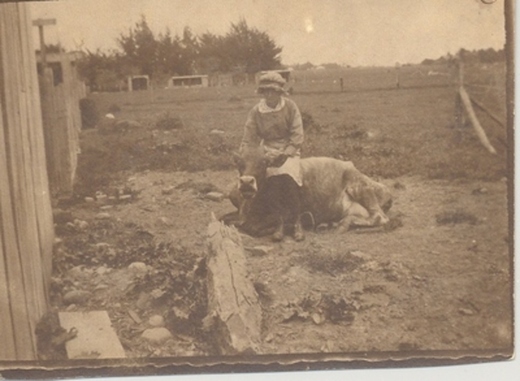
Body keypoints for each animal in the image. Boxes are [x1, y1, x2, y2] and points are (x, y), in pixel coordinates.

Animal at [225, 144, 392, 239]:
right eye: (239, 162)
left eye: (264, 162)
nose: (247, 182)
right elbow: (225, 218)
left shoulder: (286, 212)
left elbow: (252, 227)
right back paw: (329, 224)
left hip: (360, 187)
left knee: (380, 217)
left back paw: (341, 225)